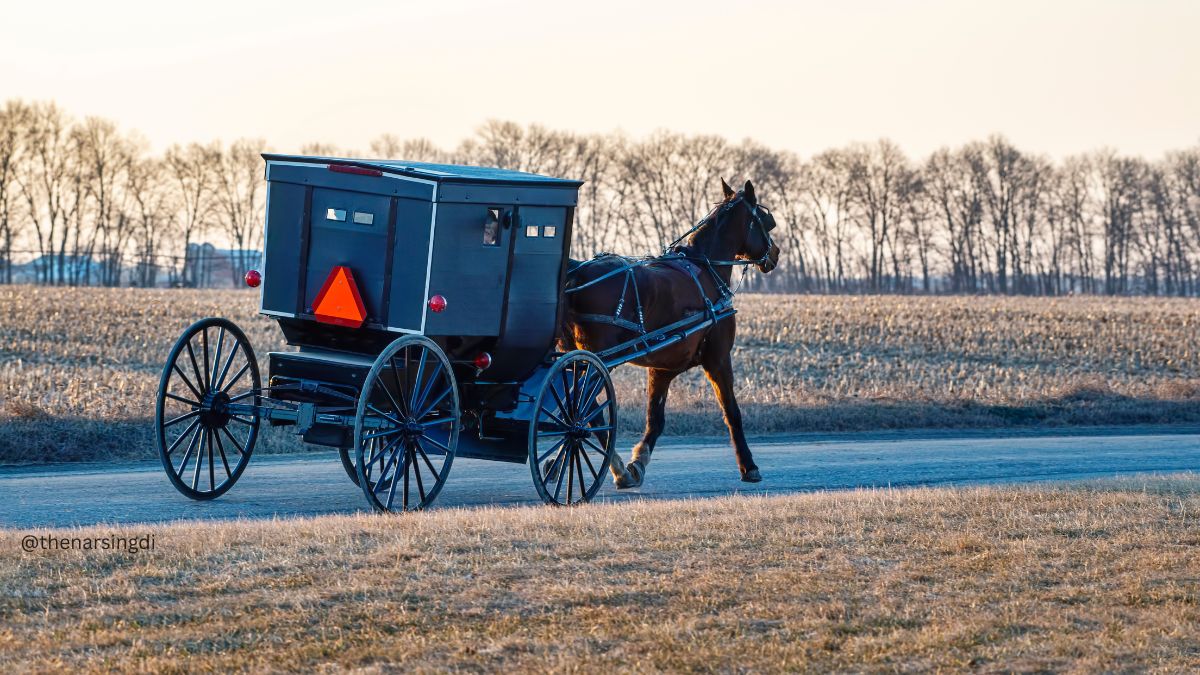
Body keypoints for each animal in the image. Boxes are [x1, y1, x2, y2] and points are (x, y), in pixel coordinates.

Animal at [559, 176, 777, 485]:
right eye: (766, 221)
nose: (776, 254)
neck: (706, 268)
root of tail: (576, 272)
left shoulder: (662, 368)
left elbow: (655, 419)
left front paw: (638, 461)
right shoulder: (718, 358)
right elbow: (732, 412)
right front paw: (749, 466)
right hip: (598, 359)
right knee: (586, 408)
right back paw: (609, 465)